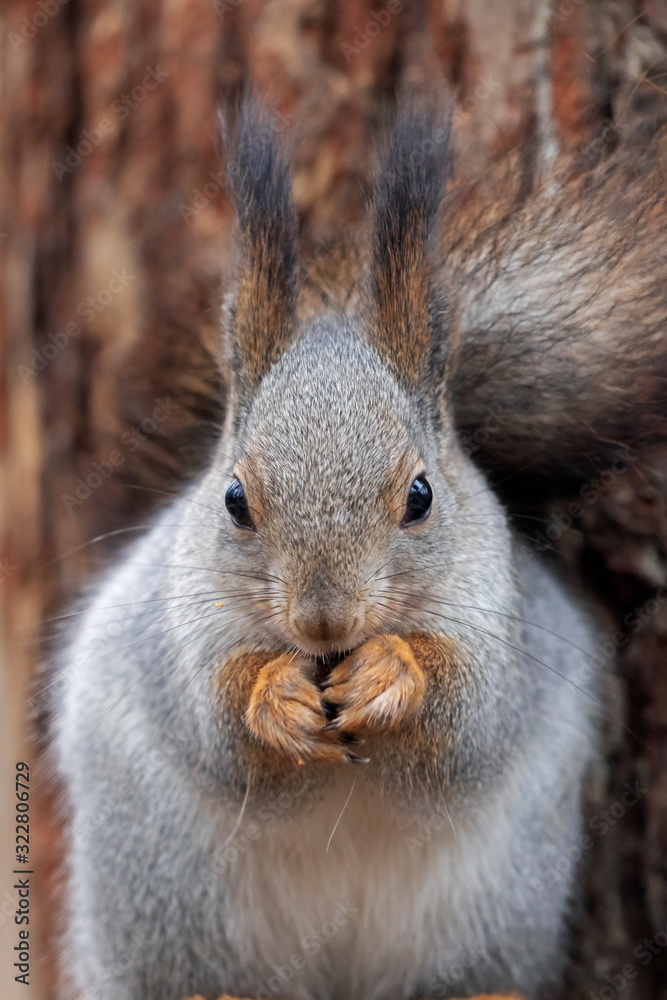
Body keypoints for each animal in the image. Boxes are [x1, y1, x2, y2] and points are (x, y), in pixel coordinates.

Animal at [52, 101, 667, 1000]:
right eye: (233, 499)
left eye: (421, 496)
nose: (323, 620)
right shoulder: (171, 632)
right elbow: (214, 728)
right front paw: (272, 697)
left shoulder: (500, 626)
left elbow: (463, 726)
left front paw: (389, 674)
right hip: (159, 898)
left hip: (492, 909)